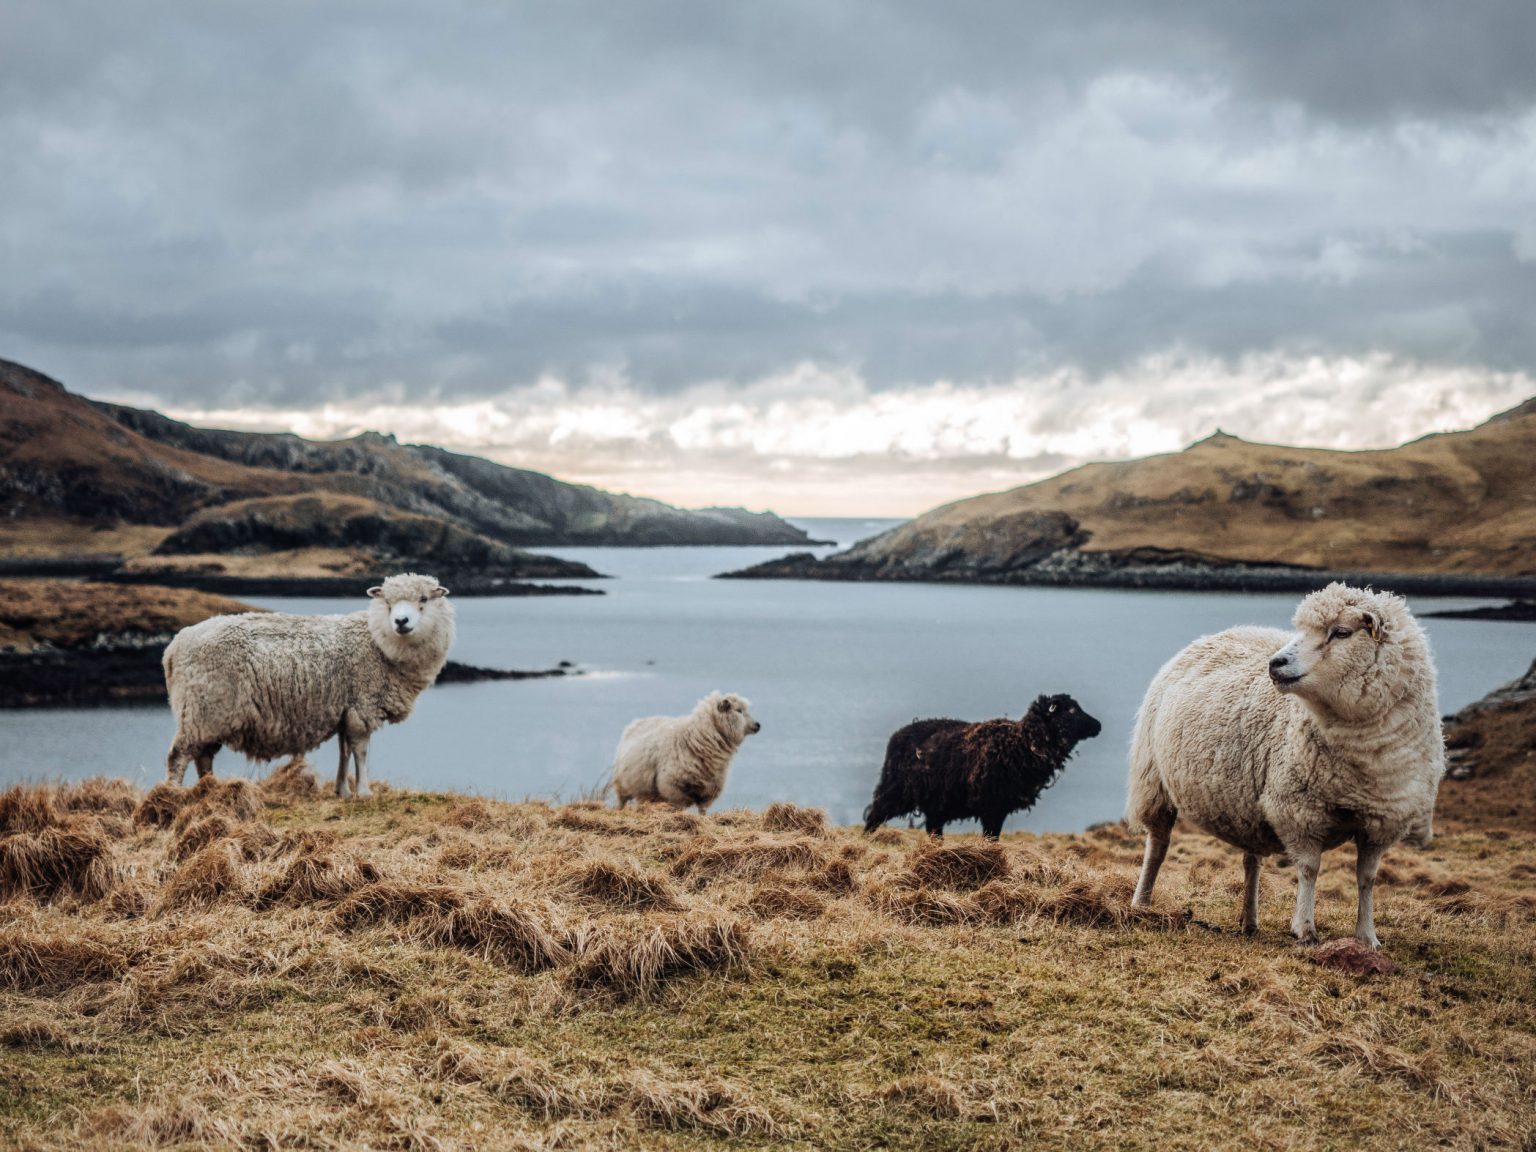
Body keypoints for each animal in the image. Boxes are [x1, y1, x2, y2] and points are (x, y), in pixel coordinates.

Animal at [162, 574, 451, 798]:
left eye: (424, 599)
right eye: (388, 603)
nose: (401, 622)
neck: (377, 642)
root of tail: (174, 647)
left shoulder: (345, 709)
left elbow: (344, 751)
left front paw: (342, 791)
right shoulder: (362, 705)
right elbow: (360, 751)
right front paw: (364, 792)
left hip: (207, 715)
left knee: (203, 755)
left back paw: (209, 789)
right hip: (202, 708)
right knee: (179, 755)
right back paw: (172, 796)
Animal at [605, 691, 761, 817]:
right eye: (739, 710)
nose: (758, 725)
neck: (695, 737)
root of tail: (636, 722)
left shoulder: (709, 789)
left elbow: (702, 810)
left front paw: (703, 820)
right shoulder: (673, 787)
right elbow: (679, 806)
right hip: (622, 784)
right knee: (622, 802)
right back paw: (619, 812)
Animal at [866, 694, 1105, 841]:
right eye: (1071, 710)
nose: (1098, 725)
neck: (1021, 744)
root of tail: (897, 735)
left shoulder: (999, 806)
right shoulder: (992, 805)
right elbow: (991, 838)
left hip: (936, 801)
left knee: (934, 829)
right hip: (895, 790)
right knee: (875, 815)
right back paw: (867, 839)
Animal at [1130, 586, 1437, 946]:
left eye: (1341, 632)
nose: (1275, 663)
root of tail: (1219, 633)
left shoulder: (1382, 821)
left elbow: (1367, 878)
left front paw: (1367, 936)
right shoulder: (1299, 810)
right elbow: (1309, 869)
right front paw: (1305, 929)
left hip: (1245, 804)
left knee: (1251, 859)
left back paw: (1249, 921)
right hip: (1153, 780)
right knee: (1158, 846)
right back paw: (1142, 901)